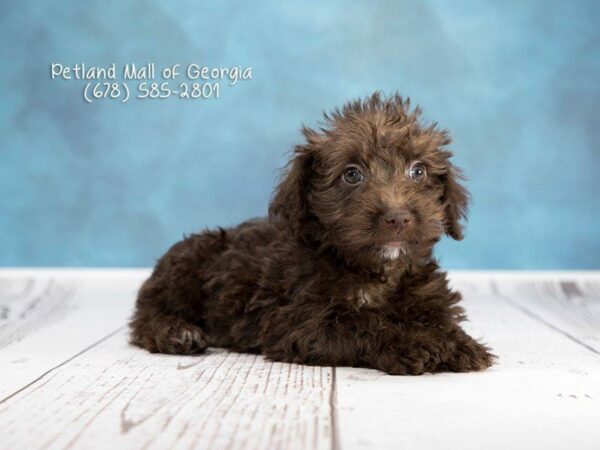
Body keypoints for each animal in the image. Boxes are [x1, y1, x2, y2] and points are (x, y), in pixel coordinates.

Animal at [129, 93, 494, 374]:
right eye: (352, 174)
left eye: (418, 171)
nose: (398, 218)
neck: (376, 273)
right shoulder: (298, 321)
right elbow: (361, 323)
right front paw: (415, 342)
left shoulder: (428, 295)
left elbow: (437, 316)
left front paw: (459, 343)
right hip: (186, 265)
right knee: (145, 314)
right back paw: (176, 332)